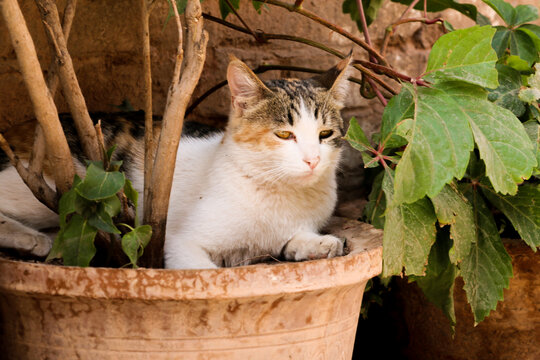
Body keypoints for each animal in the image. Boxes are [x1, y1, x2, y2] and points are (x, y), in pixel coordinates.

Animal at [0, 56, 350, 268]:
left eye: (325, 133)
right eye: (284, 134)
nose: (312, 160)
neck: (283, 193)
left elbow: (289, 240)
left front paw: (318, 243)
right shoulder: (179, 243)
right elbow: (206, 273)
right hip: (63, 183)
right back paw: (32, 239)